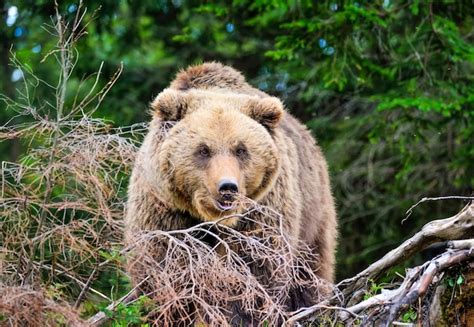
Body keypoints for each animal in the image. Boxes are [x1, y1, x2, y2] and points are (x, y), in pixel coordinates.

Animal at [123, 62, 336, 326]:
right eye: (203, 150)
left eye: (241, 150)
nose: (227, 187)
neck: (212, 220)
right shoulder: (165, 211)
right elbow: (163, 271)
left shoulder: (261, 212)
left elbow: (254, 272)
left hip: (313, 213)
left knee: (309, 272)